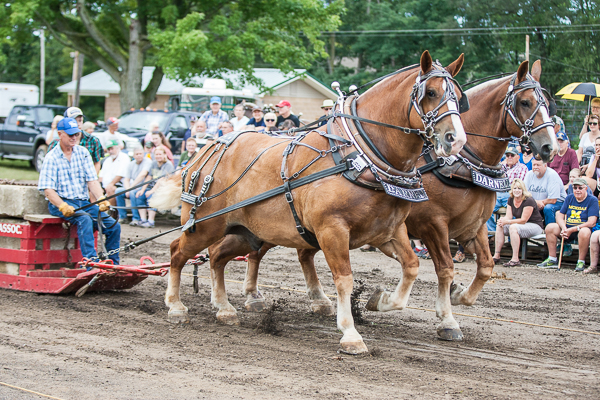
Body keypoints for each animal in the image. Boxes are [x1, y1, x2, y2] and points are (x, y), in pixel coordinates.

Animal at [151, 51, 468, 354]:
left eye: (459, 96)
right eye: (430, 92)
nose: (455, 139)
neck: (358, 156)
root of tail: (203, 151)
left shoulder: (387, 232)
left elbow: (412, 266)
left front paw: (381, 300)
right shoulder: (332, 230)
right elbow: (344, 279)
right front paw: (350, 334)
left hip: (247, 233)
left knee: (217, 257)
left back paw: (224, 308)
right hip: (205, 225)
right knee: (177, 252)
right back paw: (176, 306)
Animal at [239, 59, 556, 340]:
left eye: (548, 103)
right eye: (525, 102)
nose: (549, 147)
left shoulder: (473, 227)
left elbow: (486, 267)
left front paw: (457, 296)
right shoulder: (432, 224)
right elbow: (444, 268)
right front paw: (447, 319)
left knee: (303, 254)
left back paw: (318, 300)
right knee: (257, 251)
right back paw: (253, 295)